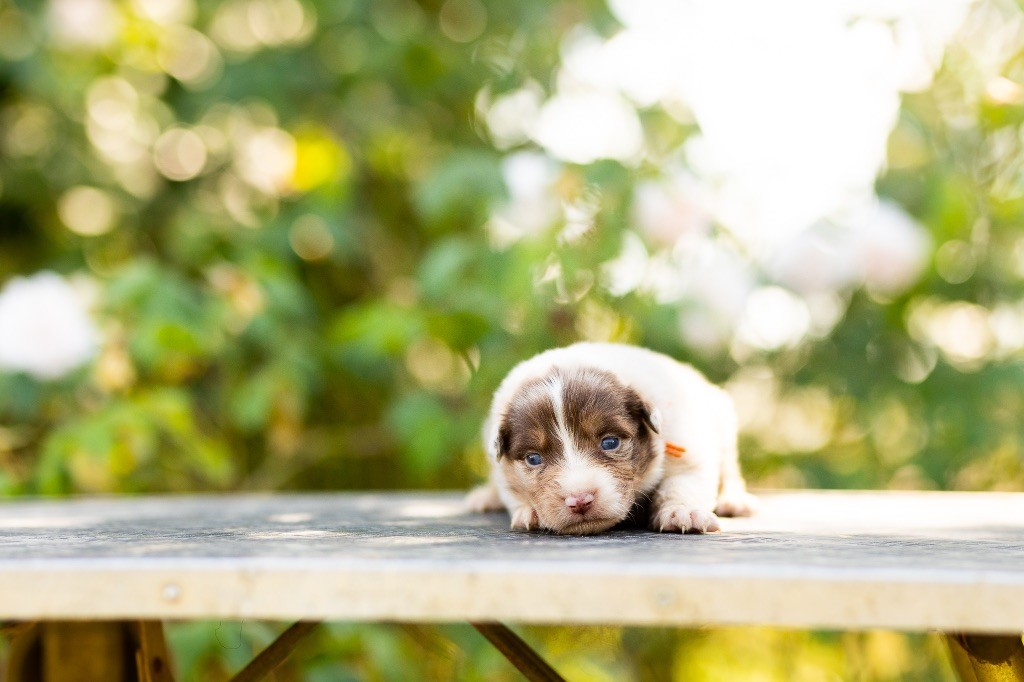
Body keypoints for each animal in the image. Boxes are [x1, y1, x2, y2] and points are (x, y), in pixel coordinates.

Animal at [468, 342, 757, 532]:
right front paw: (528, 511)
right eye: (533, 459)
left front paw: (681, 511)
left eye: (610, 442)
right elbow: (512, 490)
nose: (579, 501)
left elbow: (683, 482)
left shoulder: (688, 444)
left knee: (730, 470)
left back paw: (735, 500)